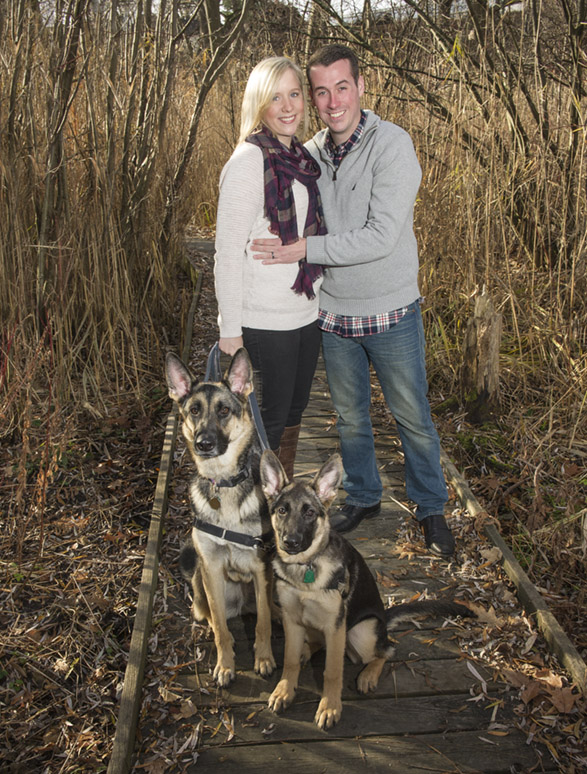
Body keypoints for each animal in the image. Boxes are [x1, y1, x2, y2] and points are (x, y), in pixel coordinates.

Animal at [165, 348, 276, 688]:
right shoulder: (211, 569)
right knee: (213, 619)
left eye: (224, 410)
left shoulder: (261, 568)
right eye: (194, 411)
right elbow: (221, 632)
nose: (204, 444)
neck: (223, 483)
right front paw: (225, 665)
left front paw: (264, 659)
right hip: (200, 593)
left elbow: (263, 624)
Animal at [262, 452, 474, 732]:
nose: (290, 542)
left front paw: (329, 707)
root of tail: (383, 619)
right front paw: (284, 690)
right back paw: (307, 650)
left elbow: (332, 672)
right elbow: (290, 659)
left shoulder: (336, 626)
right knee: (318, 643)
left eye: (309, 512)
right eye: (282, 510)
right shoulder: (292, 619)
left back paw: (369, 674)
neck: (306, 566)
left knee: (387, 649)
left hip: (360, 632)